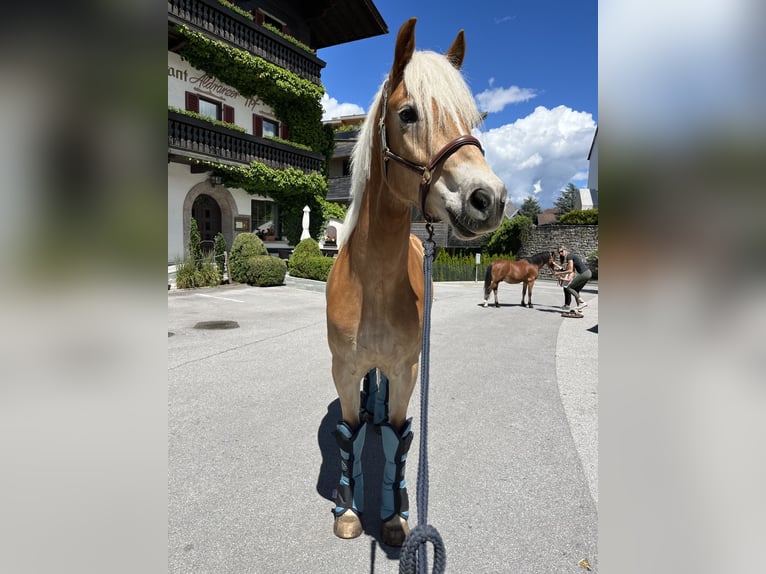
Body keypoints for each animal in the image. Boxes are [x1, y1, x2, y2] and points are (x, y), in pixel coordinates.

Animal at [326, 18, 510, 548]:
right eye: (407, 114)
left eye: (470, 118)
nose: (487, 198)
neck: (371, 284)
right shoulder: (343, 370)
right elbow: (348, 436)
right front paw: (349, 511)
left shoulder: (408, 372)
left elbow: (399, 441)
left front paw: (393, 517)